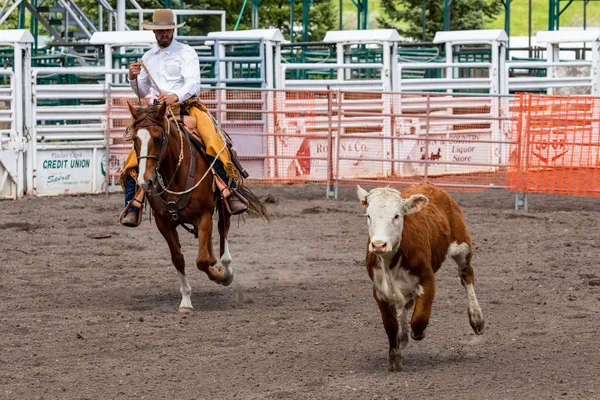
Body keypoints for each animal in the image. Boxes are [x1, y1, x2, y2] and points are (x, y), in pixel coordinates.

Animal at [127, 101, 270, 312]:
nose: (146, 182)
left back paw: (225, 268)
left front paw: (221, 276)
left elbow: (201, 261)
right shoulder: (164, 223)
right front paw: (186, 300)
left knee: (222, 231)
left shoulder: (203, 215)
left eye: (158, 138)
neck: (174, 175)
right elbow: (178, 259)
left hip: (224, 205)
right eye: (135, 139)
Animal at [358, 184, 486, 372]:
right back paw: (403, 335)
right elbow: (390, 325)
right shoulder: (379, 291)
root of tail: (431, 186)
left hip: (463, 246)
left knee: (467, 277)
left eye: (396, 215)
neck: (391, 261)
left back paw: (477, 319)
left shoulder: (427, 280)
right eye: (369, 215)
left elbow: (420, 317)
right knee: (406, 303)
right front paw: (395, 359)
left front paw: (418, 333)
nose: (379, 245)